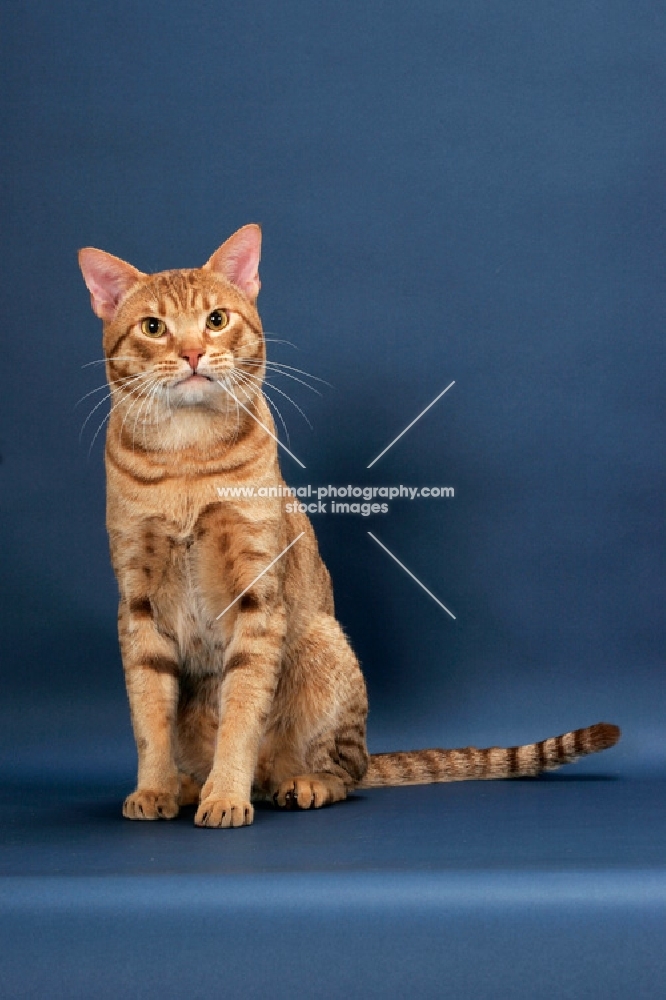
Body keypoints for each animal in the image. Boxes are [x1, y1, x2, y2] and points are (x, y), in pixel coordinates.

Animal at [76, 227, 616, 828]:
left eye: (216, 319)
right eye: (154, 328)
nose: (193, 353)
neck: (186, 459)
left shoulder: (257, 595)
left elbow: (241, 711)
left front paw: (226, 796)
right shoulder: (138, 601)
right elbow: (149, 716)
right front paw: (155, 789)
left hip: (323, 642)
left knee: (340, 770)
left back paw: (295, 785)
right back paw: (188, 785)